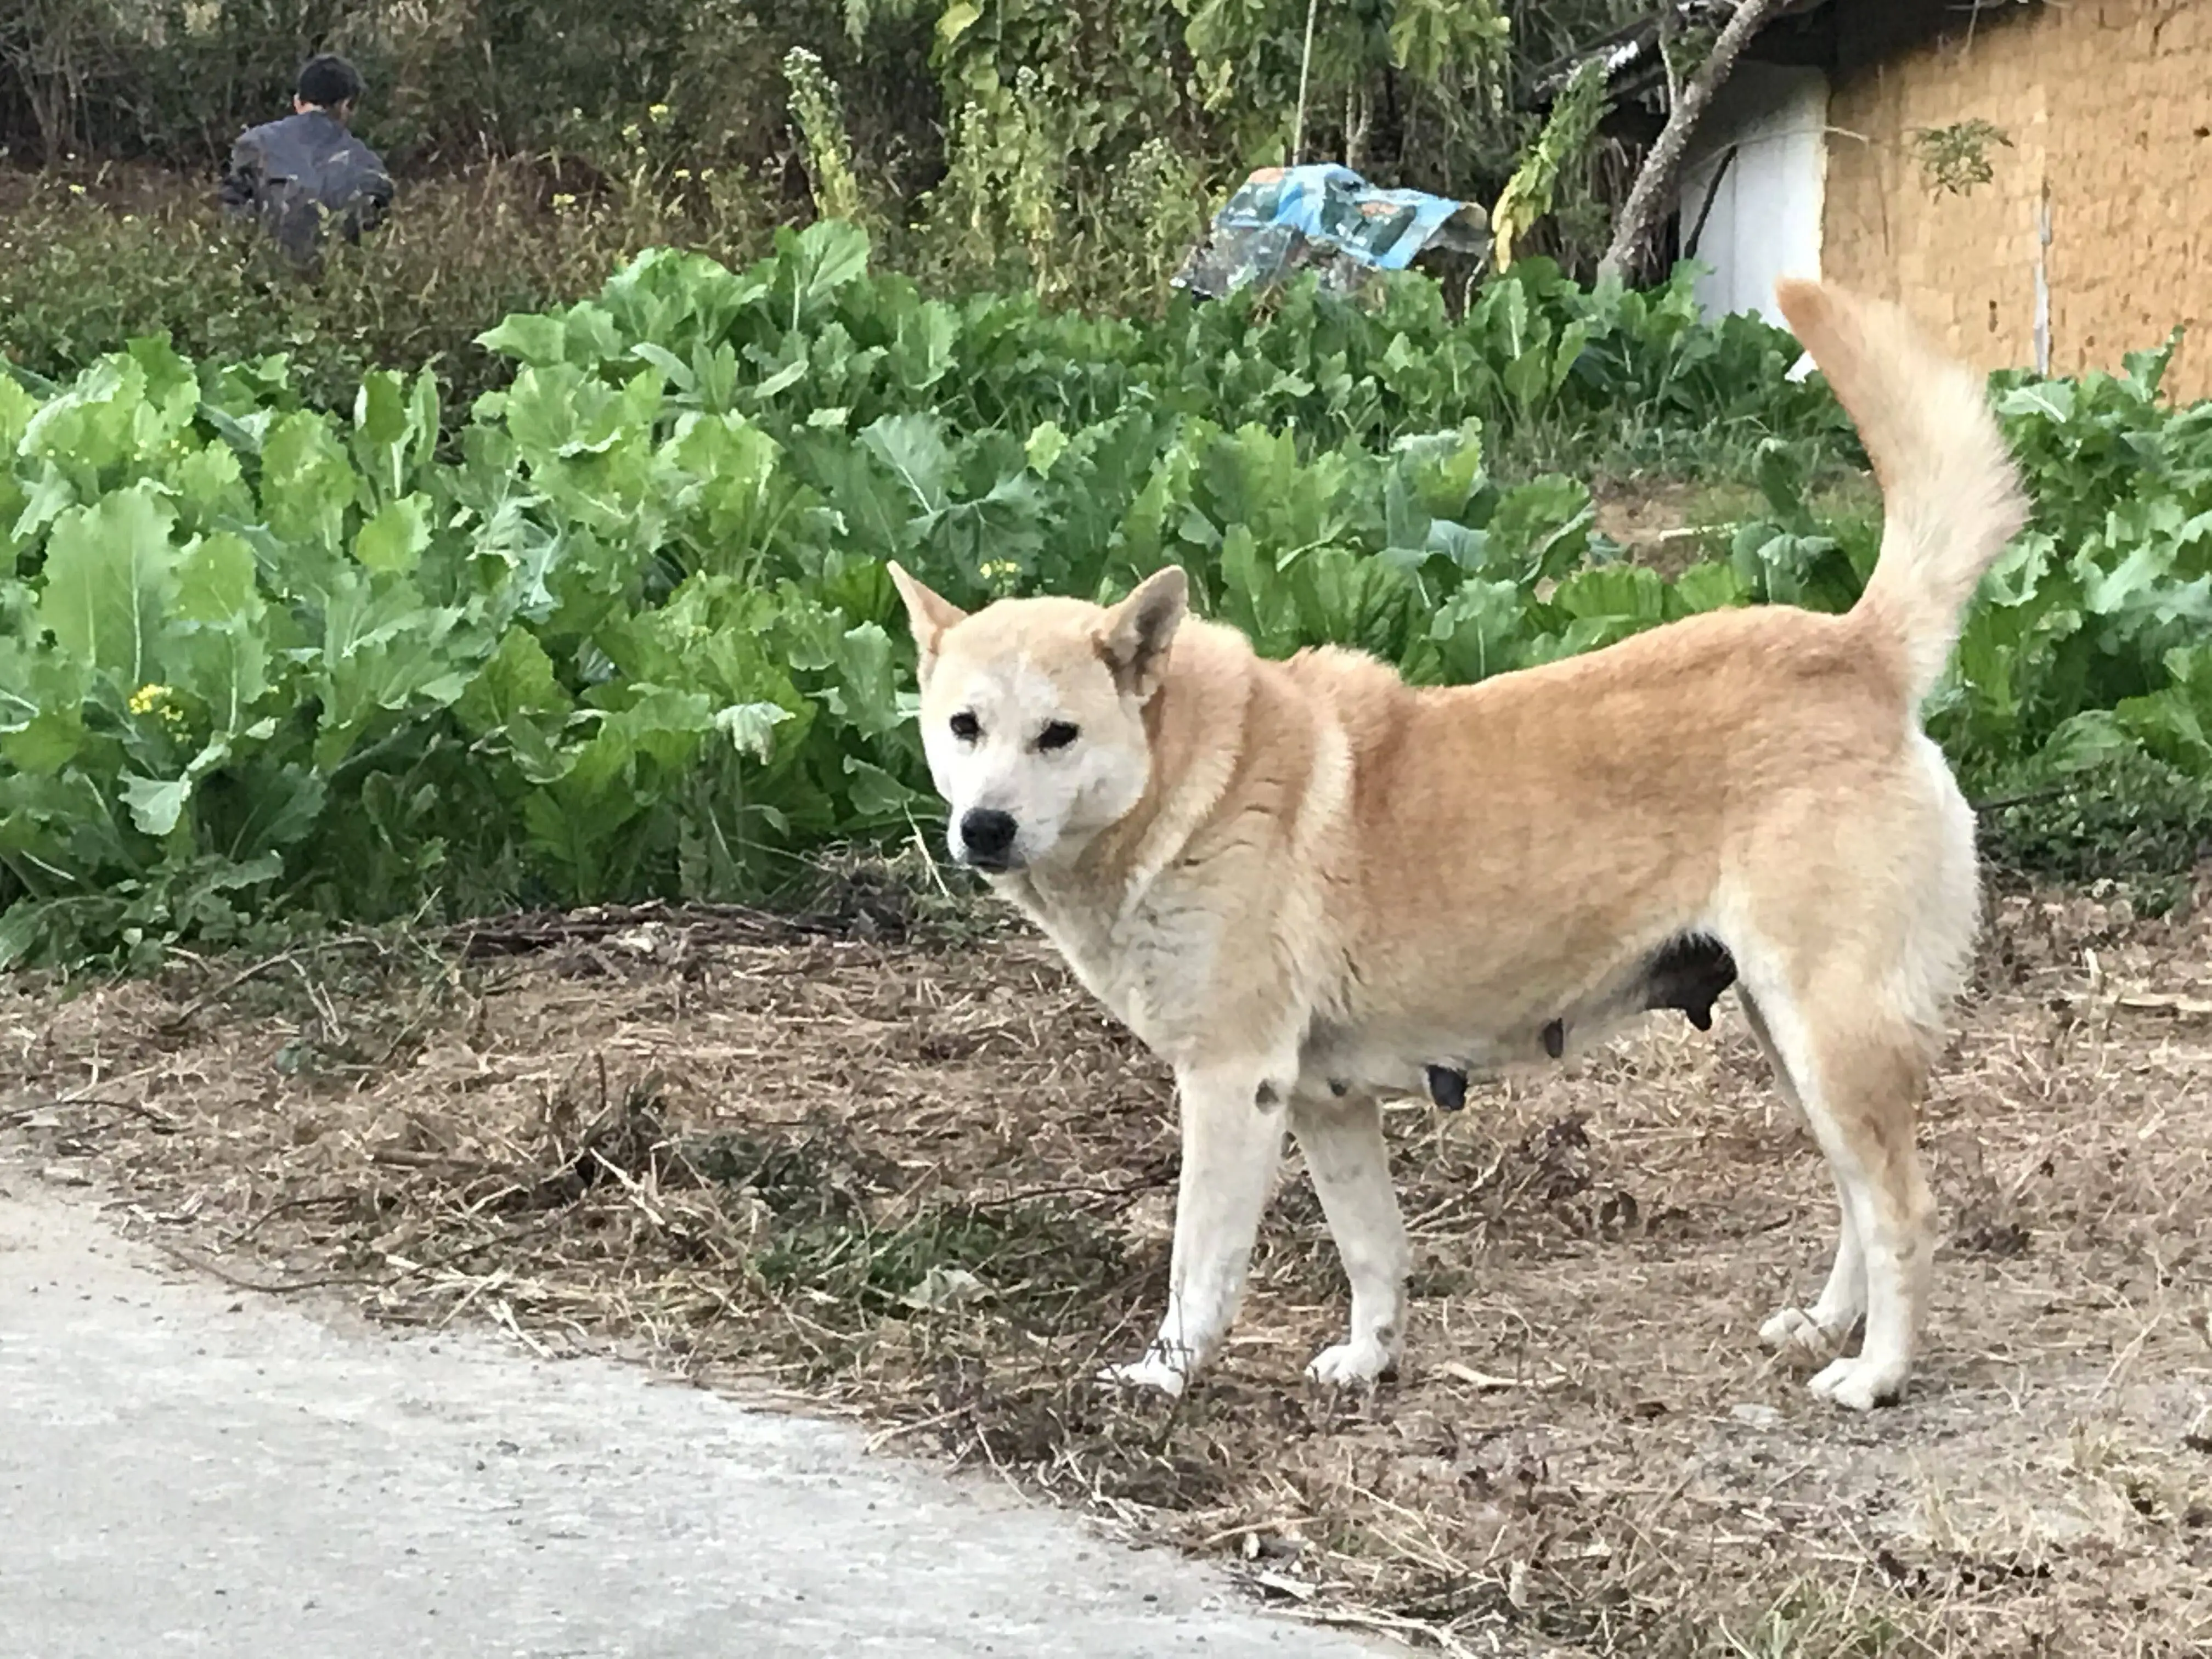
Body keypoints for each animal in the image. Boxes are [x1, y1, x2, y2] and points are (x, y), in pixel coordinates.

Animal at [880, 283, 2026, 1415]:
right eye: (964, 727)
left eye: (1058, 735)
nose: (983, 827)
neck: (1191, 783)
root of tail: (1855, 652)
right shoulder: (1324, 1101)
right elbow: (1372, 1250)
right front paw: (1370, 1359)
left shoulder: (1232, 1086)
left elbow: (1197, 1263)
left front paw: (1162, 1375)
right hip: (1790, 1041)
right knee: (1854, 1195)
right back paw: (1827, 1324)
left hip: (1830, 1036)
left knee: (1902, 1210)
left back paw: (1875, 1371)